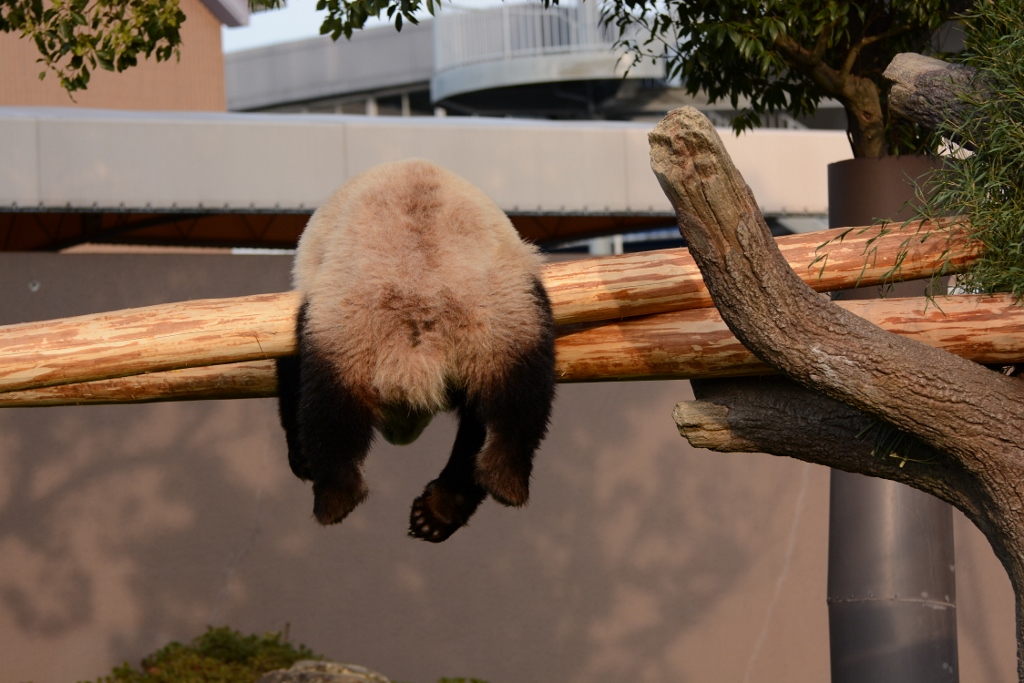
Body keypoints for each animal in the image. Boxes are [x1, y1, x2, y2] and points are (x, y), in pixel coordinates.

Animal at [276, 157, 557, 540]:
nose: (400, 438)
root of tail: (422, 289)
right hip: (510, 314)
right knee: (520, 399)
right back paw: (501, 478)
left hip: (344, 322)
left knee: (329, 410)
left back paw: (338, 499)